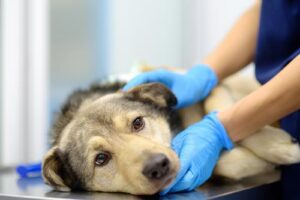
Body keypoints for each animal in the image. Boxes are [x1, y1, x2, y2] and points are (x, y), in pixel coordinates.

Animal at [41, 71, 300, 195]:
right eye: (101, 159)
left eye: (137, 123)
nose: (158, 166)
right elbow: (224, 163)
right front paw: (263, 161)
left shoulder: (213, 85)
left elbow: (220, 109)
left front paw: (281, 147)